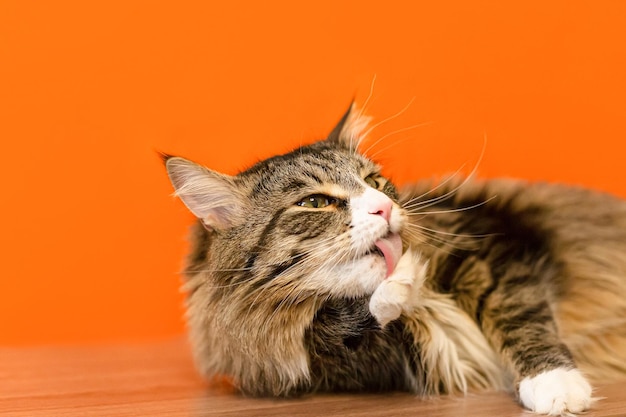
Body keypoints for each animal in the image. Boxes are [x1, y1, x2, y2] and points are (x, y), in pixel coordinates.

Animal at [163, 104, 624, 412]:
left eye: (374, 181)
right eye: (314, 202)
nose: (383, 208)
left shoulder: (494, 251)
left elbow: (520, 315)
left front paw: (555, 383)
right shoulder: (369, 363)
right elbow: (353, 323)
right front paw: (397, 288)